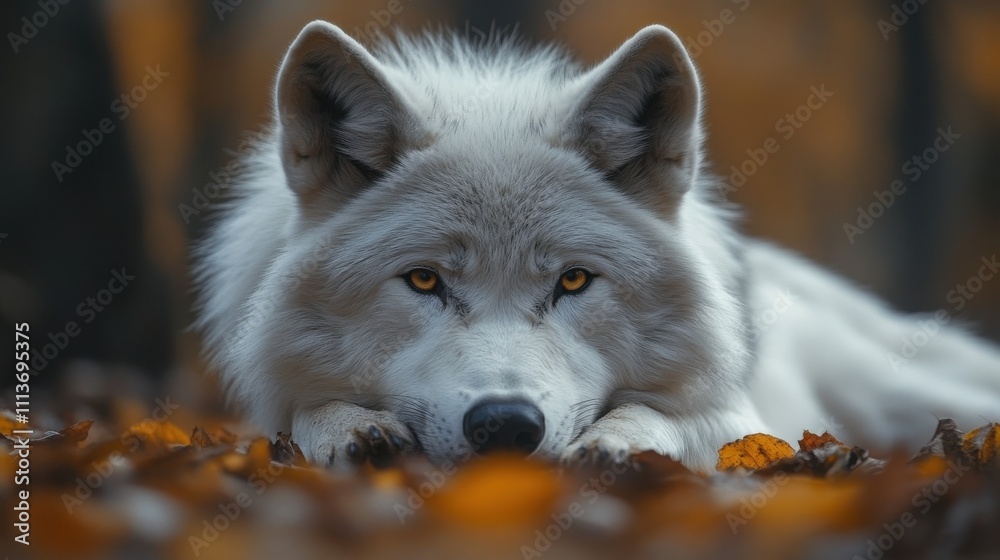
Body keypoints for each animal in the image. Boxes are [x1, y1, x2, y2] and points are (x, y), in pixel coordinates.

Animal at [194, 21, 1000, 471]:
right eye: (423, 282)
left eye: (575, 282)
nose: (506, 424)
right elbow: (303, 417)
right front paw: (349, 429)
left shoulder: (745, 419)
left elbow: (675, 419)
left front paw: (622, 444)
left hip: (899, 396)